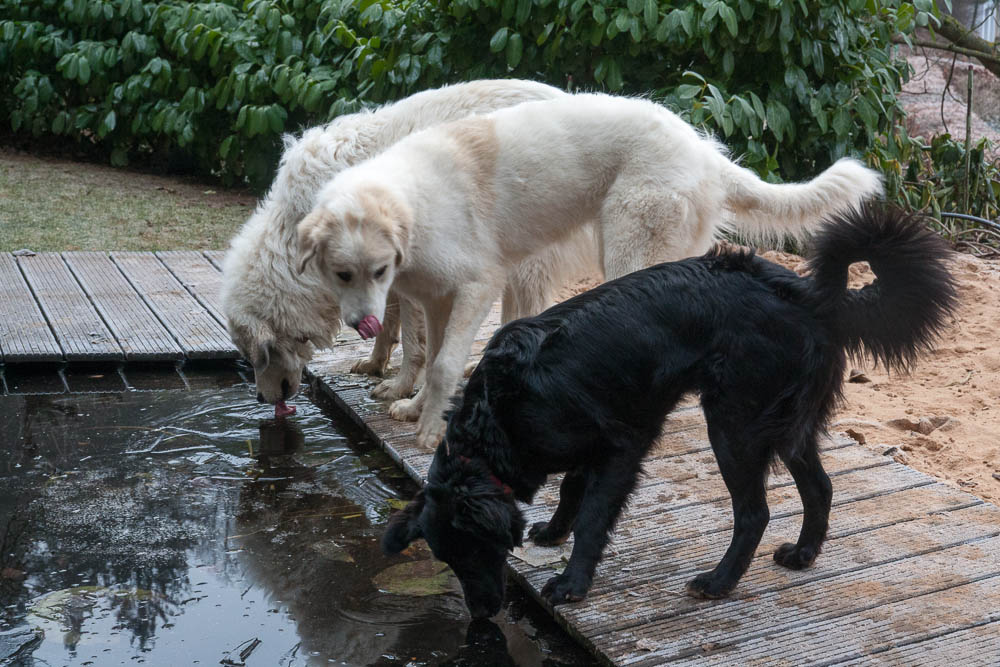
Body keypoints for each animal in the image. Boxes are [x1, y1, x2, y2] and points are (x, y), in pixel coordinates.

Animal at [221, 76, 592, 404]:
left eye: (256, 356)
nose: (261, 398)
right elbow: (386, 325)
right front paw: (375, 364)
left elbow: (414, 342)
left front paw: (400, 388)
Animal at [296, 92, 884, 448]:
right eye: (342, 275)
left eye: (377, 271)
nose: (362, 326)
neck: (413, 202)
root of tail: (704, 151)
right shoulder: (439, 301)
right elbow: (437, 356)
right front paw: (418, 408)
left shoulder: (477, 287)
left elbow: (442, 365)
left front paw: (428, 434)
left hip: (627, 251)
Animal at [380, 205, 952, 620]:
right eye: (449, 559)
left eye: (475, 551)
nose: (482, 614)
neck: (497, 416)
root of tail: (805, 292)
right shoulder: (592, 446)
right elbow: (570, 492)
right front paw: (553, 533)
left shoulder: (621, 447)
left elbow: (593, 519)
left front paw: (572, 582)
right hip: (786, 424)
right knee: (821, 486)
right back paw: (803, 555)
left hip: (734, 424)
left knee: (755, 512)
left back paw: (719, 582)